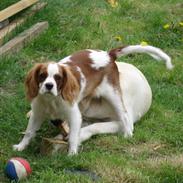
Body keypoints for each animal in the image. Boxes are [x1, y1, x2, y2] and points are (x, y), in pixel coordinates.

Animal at [12, 44, 173, 154]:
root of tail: (108, 55)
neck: (51, 100)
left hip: (113, 94)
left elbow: (74, 135)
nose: (49, 85)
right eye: (42, 76)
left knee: (125, 117)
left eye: (58, 78)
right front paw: (21, 146)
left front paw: (72, 153)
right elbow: (29, 131)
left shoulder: (74, 115)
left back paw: (127, 135)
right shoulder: (38, 113)